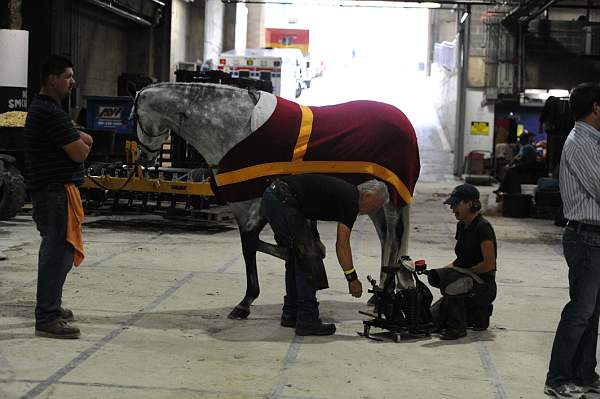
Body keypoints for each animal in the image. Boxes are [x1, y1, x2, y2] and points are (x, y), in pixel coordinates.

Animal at [134, 82, 420, 318]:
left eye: (134, 116)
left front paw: (246, 301)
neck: (236, 130)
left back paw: (384, 292)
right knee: (385, 237)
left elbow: (250, 244)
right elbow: (264, 245)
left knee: (394, 237)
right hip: (373, 198)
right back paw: (381, 292)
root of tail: (404, 120)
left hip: (391, 197)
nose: (144, 158)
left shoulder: (254, 207)